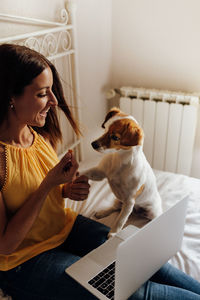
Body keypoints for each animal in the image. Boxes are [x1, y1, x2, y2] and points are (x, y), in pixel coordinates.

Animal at [83, 106, 162, 238]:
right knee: (116, 208)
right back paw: (103, 212)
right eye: (105, 128)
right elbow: (85, 173)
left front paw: (113, 233)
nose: (93, 144)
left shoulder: (129, 201)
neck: (119, 159)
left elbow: (120, 220)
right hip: (118, 200)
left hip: (152, 212)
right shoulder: (100, 173)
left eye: (115, 137)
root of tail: (136, 211)